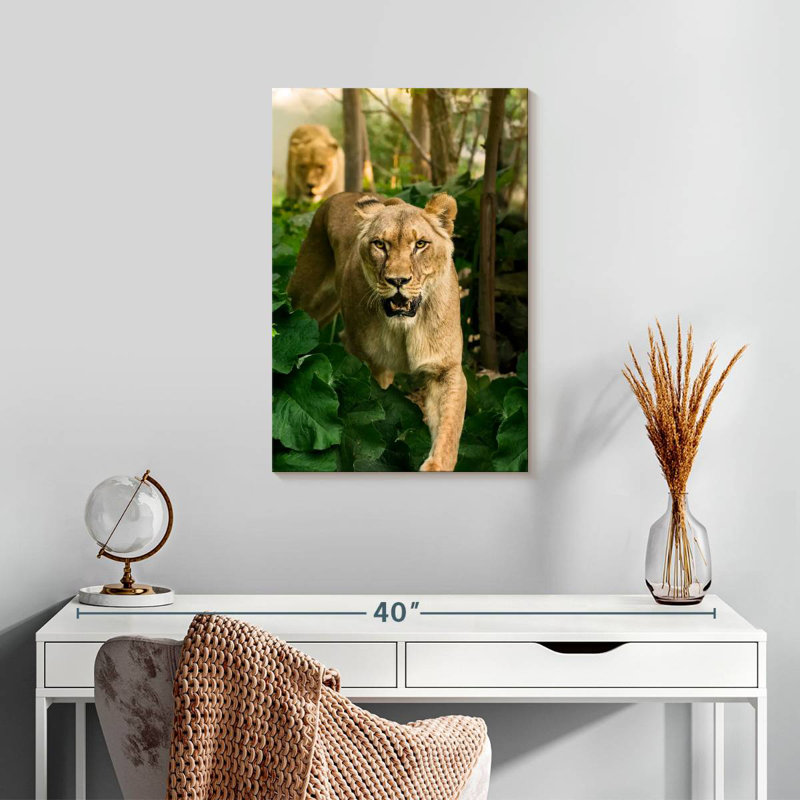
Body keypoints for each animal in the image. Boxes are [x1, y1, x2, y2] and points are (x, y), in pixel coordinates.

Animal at [288, 192, 466, 472]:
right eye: (380, 244)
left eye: (421, 244)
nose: (398, 281)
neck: (405, 326)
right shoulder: (374, 364)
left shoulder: (445, 369)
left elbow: (449, 427)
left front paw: (436, 466)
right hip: (308, 302)